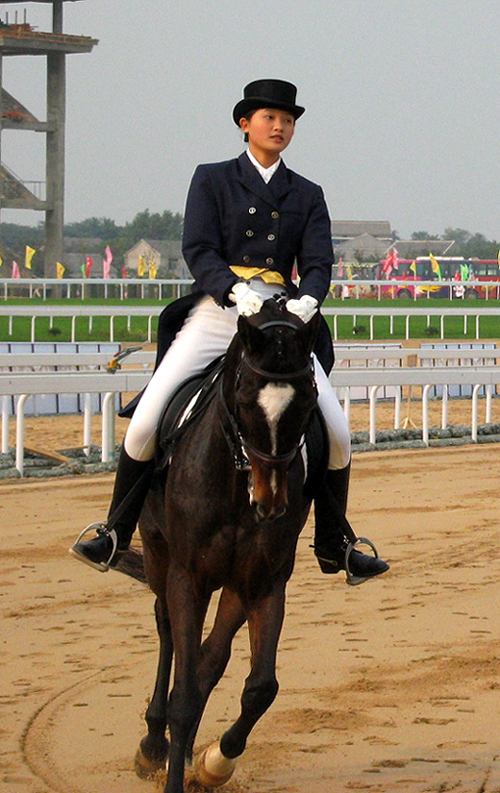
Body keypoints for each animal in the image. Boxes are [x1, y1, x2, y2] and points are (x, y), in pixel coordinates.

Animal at [133, 298, 320, 792]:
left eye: (308, 400)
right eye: (245, 397)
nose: (270, 503)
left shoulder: (263, 581)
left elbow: (260, 687)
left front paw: (214, 761)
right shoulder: (188, 577)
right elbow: (183, 692)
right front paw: (176, 768)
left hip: (234, 584)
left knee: (210, 657)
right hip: (158, 555)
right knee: (166, 628)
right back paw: (153, 742)